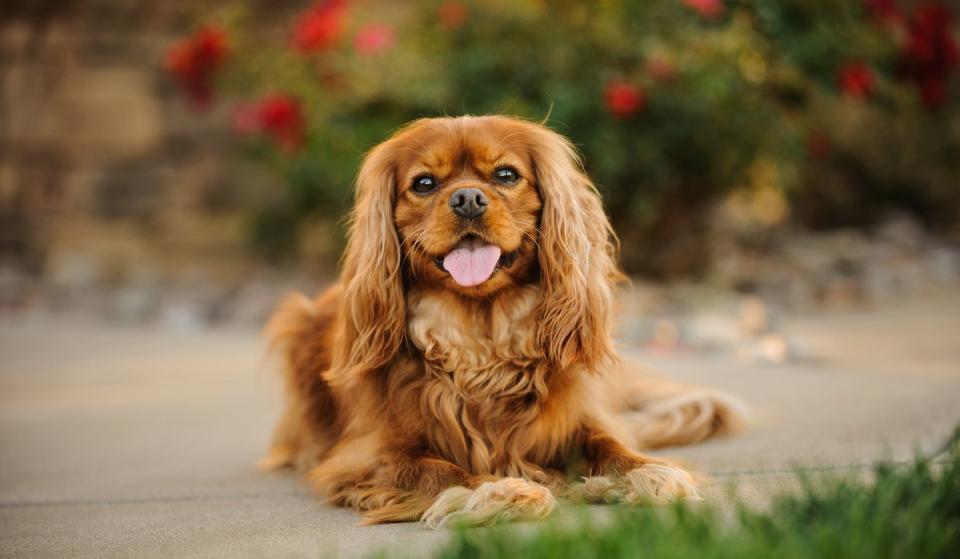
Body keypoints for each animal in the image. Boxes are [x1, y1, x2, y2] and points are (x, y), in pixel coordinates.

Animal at [262, 115, 752, 528]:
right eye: (424, 183)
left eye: (505, 175)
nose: (467, 198)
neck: (481, 336)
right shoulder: (365, 455)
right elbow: (438, 470)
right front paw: (499, 489)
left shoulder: (573, 421)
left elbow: (608, 444)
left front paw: (648, 472)